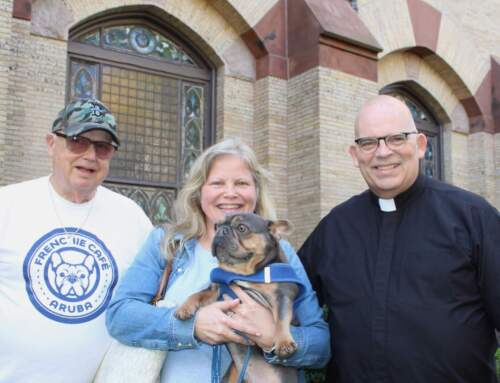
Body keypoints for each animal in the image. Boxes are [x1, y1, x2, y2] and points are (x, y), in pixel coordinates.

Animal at [174, 213, 298, 383]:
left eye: (242, 228)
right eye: (216, 226)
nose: (222, 231)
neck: (240, 273)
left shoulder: (282, 295)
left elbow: (281, 319)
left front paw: (283, 342)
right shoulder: (216, 291)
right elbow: (197, 294)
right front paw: (184, 308)